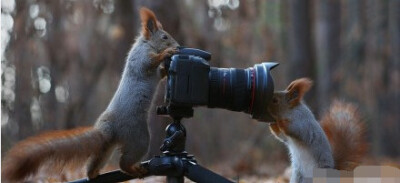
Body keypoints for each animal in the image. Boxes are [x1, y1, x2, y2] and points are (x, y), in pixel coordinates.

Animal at [1, 7, 180, 182]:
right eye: (164, 37)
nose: (178, 46)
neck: (146, 43)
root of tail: (108, 129)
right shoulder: (141, 57)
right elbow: (149, 62)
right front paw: (167, 52)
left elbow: (160, 73)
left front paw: (166, 66)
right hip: (139, 137)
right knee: (124, 162)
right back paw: (136, 170)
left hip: (107, 147)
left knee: (97, 160)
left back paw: (92, 174)